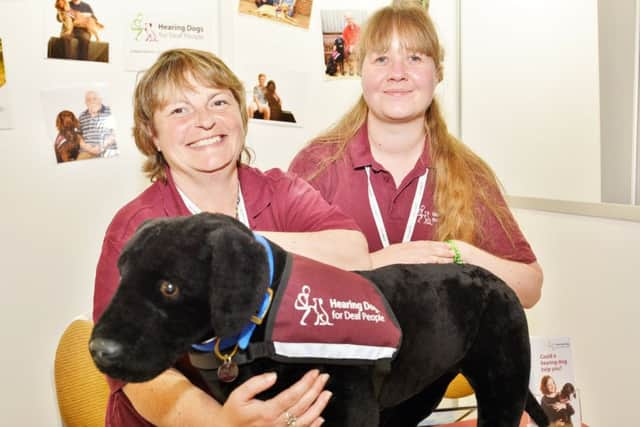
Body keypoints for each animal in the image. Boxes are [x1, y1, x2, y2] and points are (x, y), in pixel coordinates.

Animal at [90, 214, 552, 427]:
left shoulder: (352, 412)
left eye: (169, 287)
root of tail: (497, 281)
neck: (263, 320)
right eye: (121, 274)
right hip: (415, 395)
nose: (97, 350)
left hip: (502, 390)